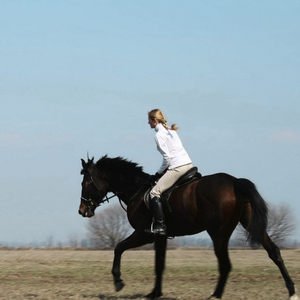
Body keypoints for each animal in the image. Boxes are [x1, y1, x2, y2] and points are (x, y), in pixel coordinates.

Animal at [78, 156, 298, 298]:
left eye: (85, 183)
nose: (82, 211)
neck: (136, 191)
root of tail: (235, 182)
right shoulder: (160, 236)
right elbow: (159, 264)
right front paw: (155, 293)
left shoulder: (144, 234)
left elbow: (118, 248)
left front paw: (118, 282)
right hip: (250, 224)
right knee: (274, 252)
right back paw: (291, 290)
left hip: (218, 233)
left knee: (225, 264)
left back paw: (216, 295)